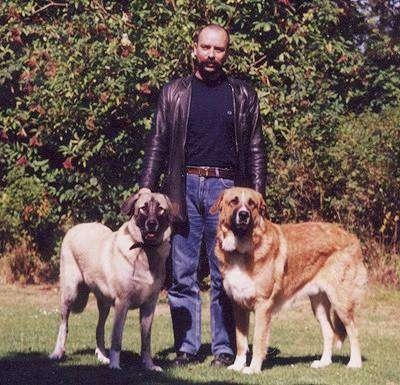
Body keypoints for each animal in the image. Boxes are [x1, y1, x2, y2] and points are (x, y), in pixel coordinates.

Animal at [48, 188, 172, 370]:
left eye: (160, 209)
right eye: (143, 208)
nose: (151, 223)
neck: (145, 251)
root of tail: (76, 227)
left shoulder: (149, 306)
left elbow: (146, 341)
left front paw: (149, 365)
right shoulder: (122, 303)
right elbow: (116, 338)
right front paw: (115, 365)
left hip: (104, 304)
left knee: (99, 328)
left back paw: (102, 356)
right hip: (69, 294)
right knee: (64, 326)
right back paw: (57, 353)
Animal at [211, 186, 368, 372]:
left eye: (251, 204)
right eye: (234, 201)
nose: (243, 215)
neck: (241, 249)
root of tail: (352, 237)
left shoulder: (262, 305)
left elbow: (257, 341)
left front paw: (253, 369)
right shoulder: (239, 305)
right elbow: (241, 341)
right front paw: (237, 366)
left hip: (340, 301)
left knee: (353, 330)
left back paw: (354, 363)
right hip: (319, 303)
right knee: (329, 331)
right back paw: (323, 362)